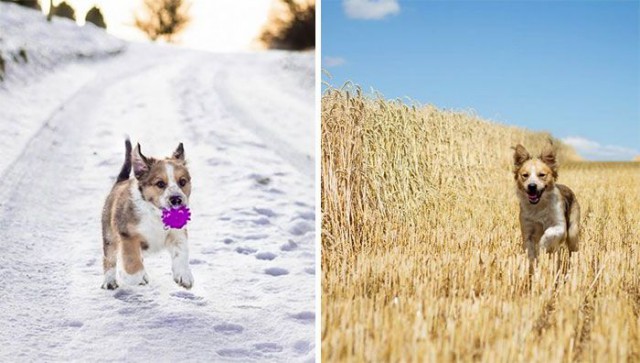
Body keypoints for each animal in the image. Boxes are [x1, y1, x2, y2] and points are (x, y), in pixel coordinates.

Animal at [100, 139, 192, 290]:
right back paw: (110, 282)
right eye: (160, 184)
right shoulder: (127, 235)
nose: (176, 199)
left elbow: (181, 252)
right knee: (110, 258)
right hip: (109, 235)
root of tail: (120, 182)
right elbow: (130, 259)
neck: (156, 215)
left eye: (183, 182)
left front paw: (184, 276)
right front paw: (132, 276)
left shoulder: (177, 233)